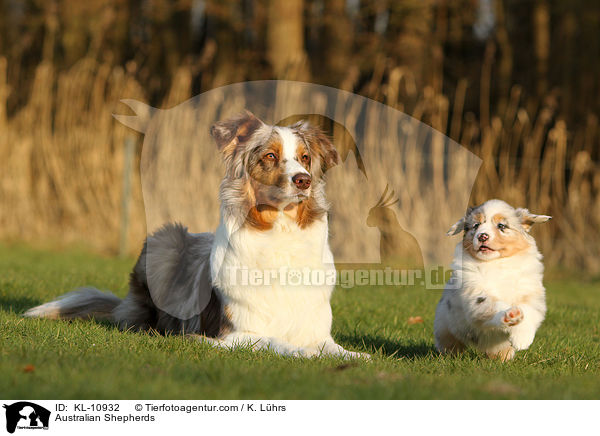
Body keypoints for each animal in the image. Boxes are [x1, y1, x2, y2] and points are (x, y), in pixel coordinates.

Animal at [25, 110, 368, 360]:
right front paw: (304, 353)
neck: (281, 234)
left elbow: (335, 348)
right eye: (270, 156)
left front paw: (355, 356)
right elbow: (279, 343)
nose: (303, 180)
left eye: (305, 158)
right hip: (164, 239)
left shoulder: (317, 331)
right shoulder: (235, 334)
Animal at [434, 199, 552, 360]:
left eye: (501, 226)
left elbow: (528, 310)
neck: (496, 263)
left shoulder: (530, 291)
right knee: (450, 344)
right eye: (476, 225)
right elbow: (493, 304)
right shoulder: (475, 293)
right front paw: (511, 315)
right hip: (445, 327)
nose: (482, 236)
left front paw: (522, 340)